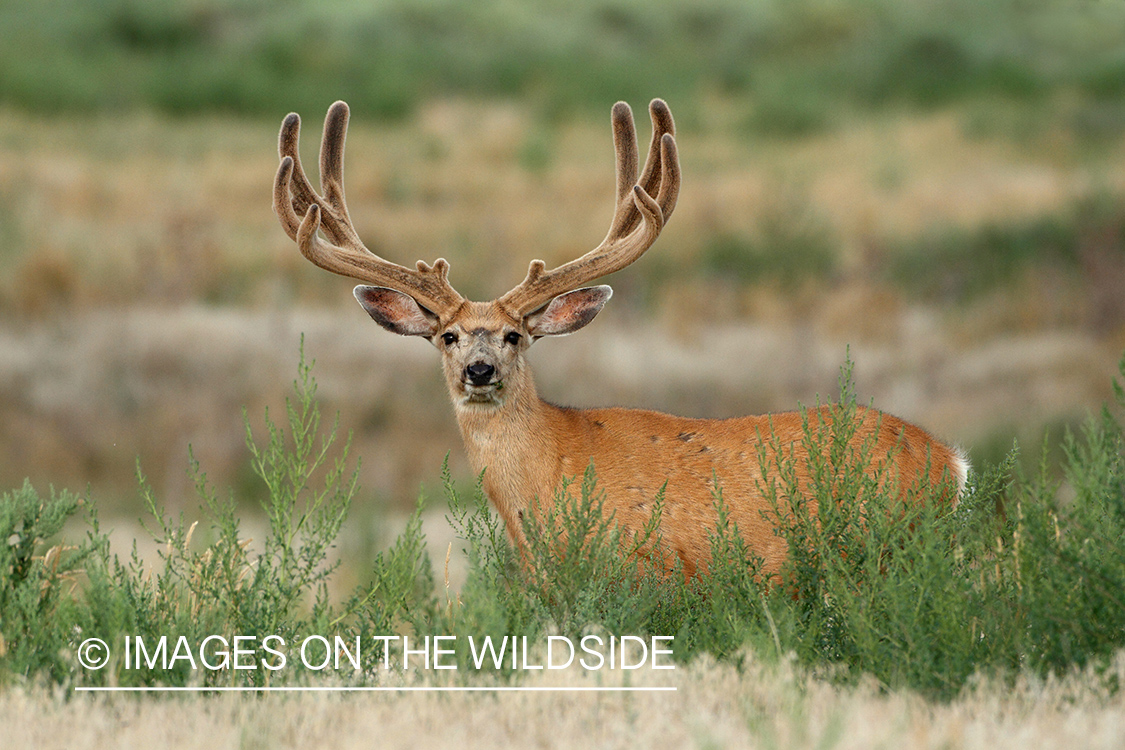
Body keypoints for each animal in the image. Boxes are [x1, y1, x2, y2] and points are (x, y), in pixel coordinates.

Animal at [272, 99, 970, 579]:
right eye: (446, 336)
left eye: (515, 335)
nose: (479, 370)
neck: (547, 479)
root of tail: (950, 461)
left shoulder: (650, 574)